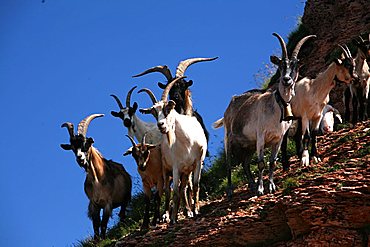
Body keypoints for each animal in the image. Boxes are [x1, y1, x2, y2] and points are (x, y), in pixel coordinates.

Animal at [139, 76, 208, 224]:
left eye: (167, 109)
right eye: (154, 112)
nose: (161, 125)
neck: (188, 141)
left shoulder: (198, 162)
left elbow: (195, 185)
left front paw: (196, 210)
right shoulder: (176, 167)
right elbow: (175, 191)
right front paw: (173, 219)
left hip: (186, 171)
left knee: (184, 188)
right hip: (167, 170)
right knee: (168, 190)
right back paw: (168, 215)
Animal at [212, 33, 314, 198]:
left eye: (295, 65)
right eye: (281, 65)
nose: (286, 80)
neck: (276, 107)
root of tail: (232, 102)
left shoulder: (278, 138)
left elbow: (272, 162)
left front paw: (271, 186)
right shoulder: (261, 136)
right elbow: (261, 163)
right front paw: (261, 189)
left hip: (248, 145)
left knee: (245, 163)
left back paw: (251, 184)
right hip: (229, 138)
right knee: (229, 164)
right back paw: (230, 190)